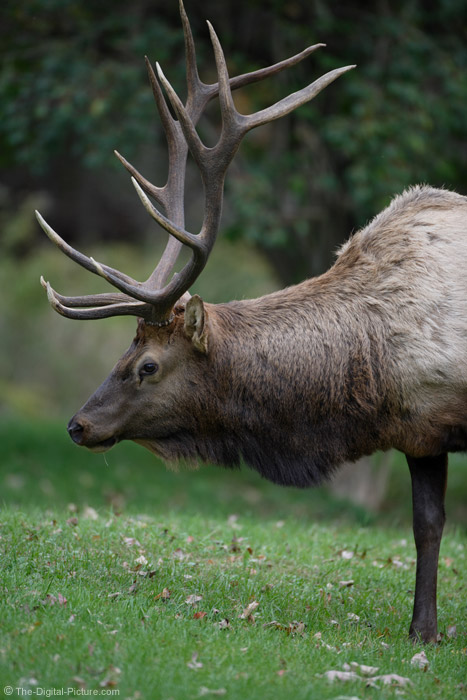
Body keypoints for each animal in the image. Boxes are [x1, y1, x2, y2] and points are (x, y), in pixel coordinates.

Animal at [37, 1, 467, 644]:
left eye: (147, 365)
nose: (77, 425)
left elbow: (432, 525)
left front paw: (426, 630)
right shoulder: (421, 427)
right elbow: (428, 525)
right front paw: (424, 630)